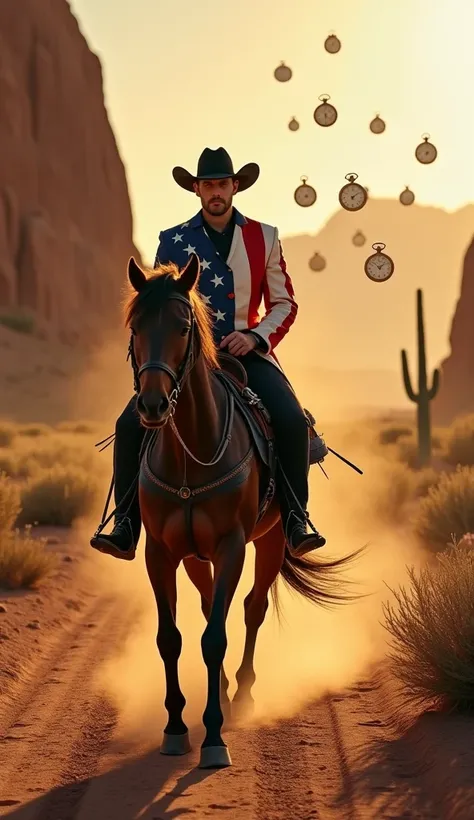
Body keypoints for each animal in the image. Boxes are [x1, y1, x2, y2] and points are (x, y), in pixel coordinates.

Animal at [124, 251, 358, 768]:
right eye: (134, 325)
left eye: (182, 326)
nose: (151, 406)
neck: (190, 455)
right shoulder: (161, 553)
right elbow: (171, 637)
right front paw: (176, 727)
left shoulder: (232, 547)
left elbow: (215, 638)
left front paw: (213, 736)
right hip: (195, 557)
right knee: (214, 604)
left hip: (270, 542)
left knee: (251, 609)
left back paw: (244, 694)